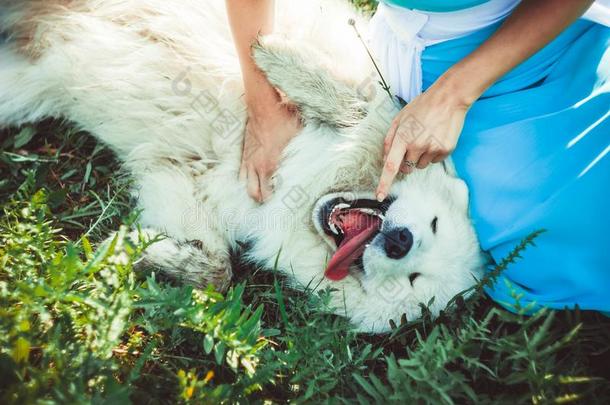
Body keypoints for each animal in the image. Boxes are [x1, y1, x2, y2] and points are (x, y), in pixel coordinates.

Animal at [0, 0, 484, 332]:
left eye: (414, 281)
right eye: (435, 223)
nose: (402, 241)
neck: (305, 198)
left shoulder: (177, 179)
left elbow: (217, 270)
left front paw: (138, 252)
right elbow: (360, 107)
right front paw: (271, 55)